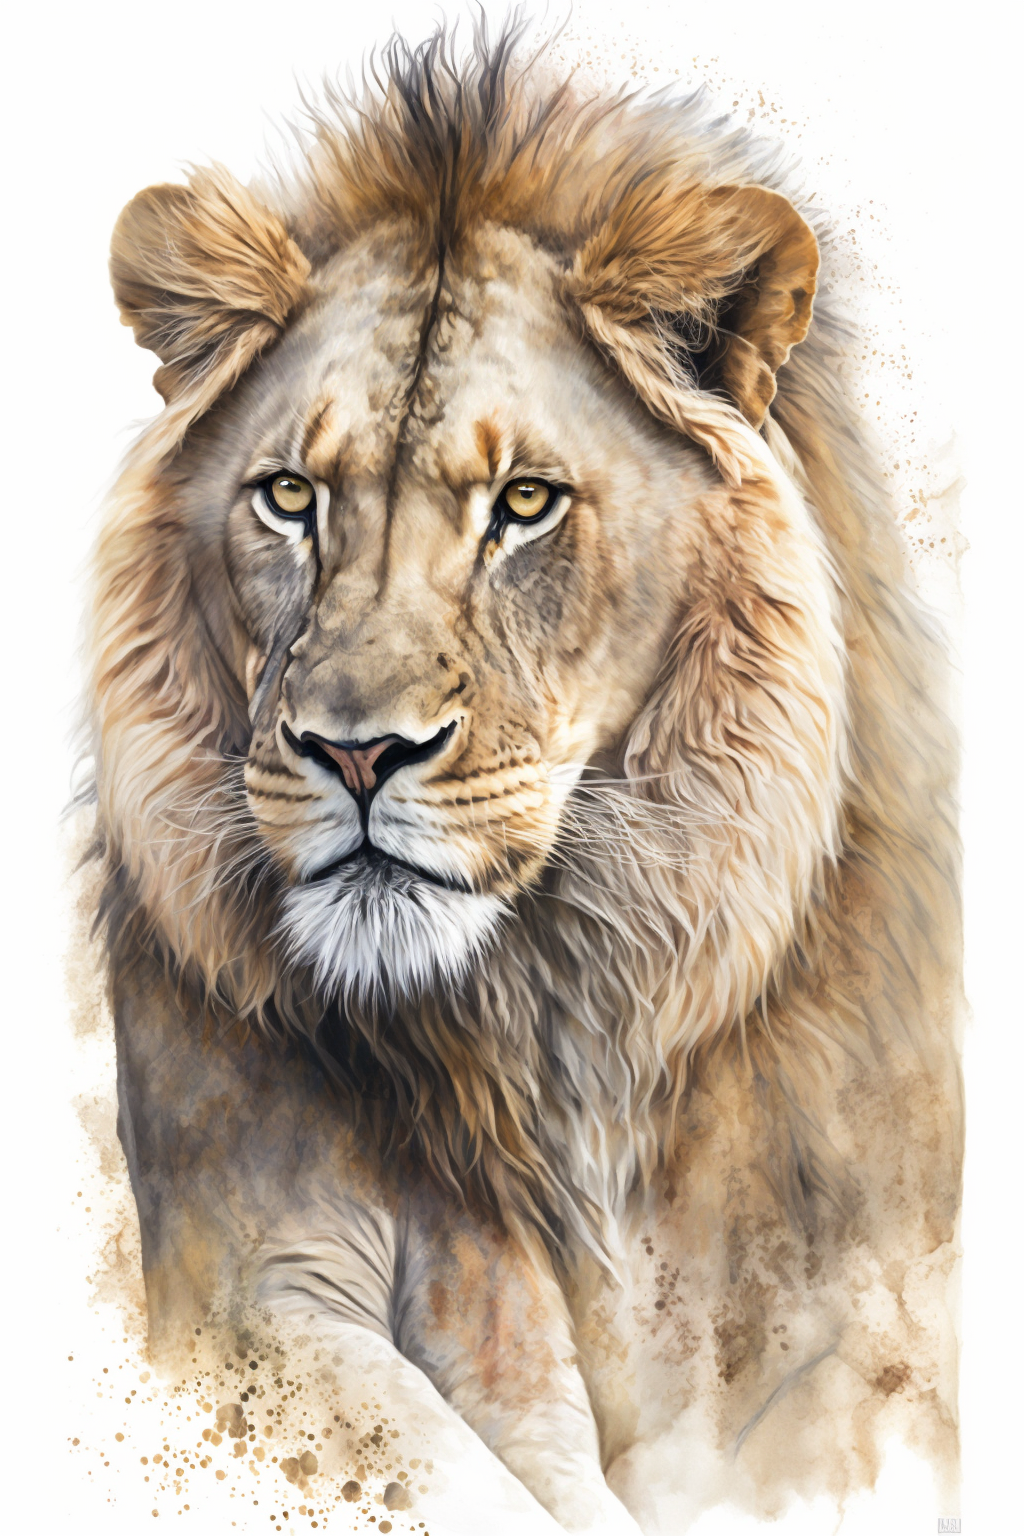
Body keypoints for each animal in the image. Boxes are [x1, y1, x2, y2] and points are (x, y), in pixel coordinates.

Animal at [87, 20, 961, 1535]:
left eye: (526, 506)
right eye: (290, 497)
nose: (356, 750)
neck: (550, 1024)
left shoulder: (857, 1311)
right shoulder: (260, 1281)